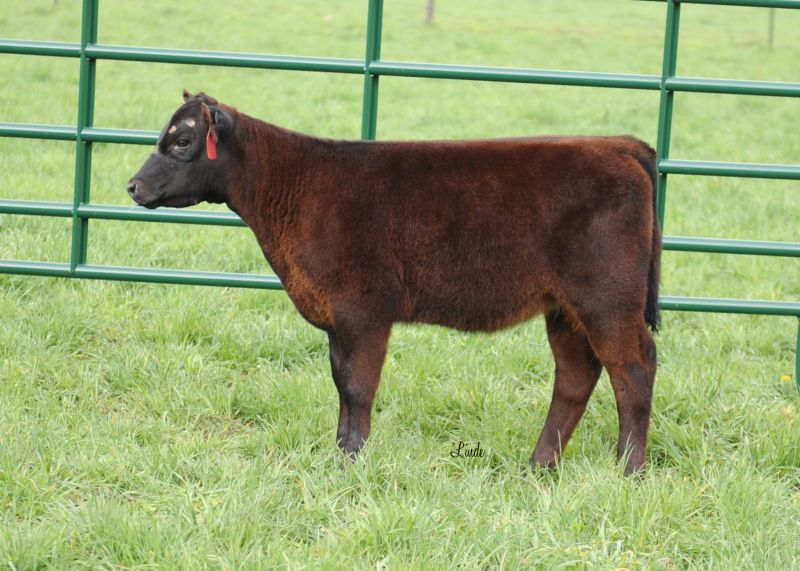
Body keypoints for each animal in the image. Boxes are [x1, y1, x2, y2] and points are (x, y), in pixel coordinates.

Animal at [128, 90, 660, 474]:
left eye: (181, 142)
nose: (133, 186)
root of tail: (616, 144)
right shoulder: (337, 319)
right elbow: (342, 384)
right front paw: (341, 454)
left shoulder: (362, 311)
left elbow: (359, 387)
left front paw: (351, 464)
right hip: (564, 307)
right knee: (576, 376)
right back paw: (539, 466)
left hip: (607, 299)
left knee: (633, 368)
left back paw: (628, 469)